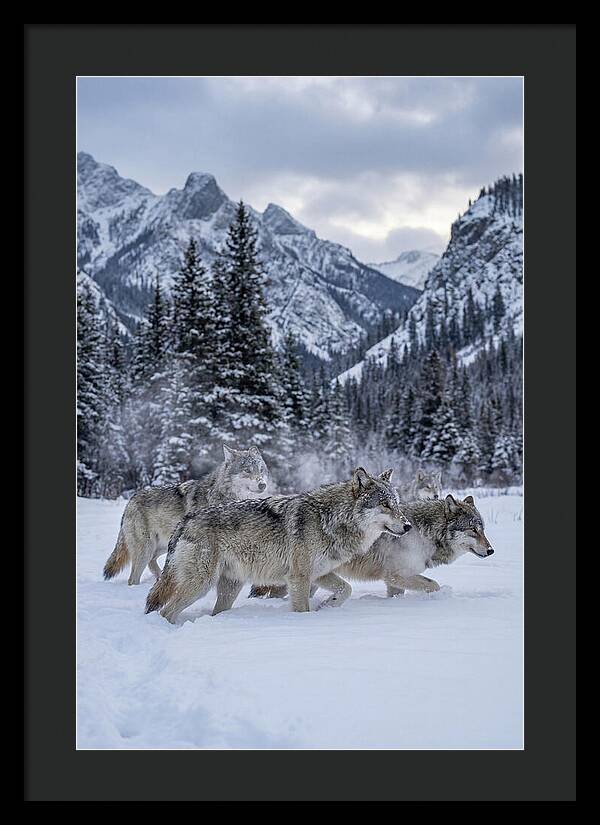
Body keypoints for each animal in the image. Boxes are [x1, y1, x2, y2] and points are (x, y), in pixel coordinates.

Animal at [103, 444, 269, 586]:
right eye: (247, 470)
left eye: (261, 469)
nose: (263, 485)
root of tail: (131, 499)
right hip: (146, 549)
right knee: (133, 578)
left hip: (164, 545)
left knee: (152, 562)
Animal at [145, 467, 412, 623]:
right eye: (385, 505)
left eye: (397, 503)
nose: (408, 525)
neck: (331, 518)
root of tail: (185, 520)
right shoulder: (299, 577)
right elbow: (302, 609)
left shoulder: (319, 573)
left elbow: (346, 589)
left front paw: (327, 606)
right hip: (200, 585)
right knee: (165, 611)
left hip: (229, 588)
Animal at [336, 494, 494, 597]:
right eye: (473, 530)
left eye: (482, 530)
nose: (491, 550)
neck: (425, 535)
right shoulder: (396, 576)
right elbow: (434, 584)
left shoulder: (393, 582)